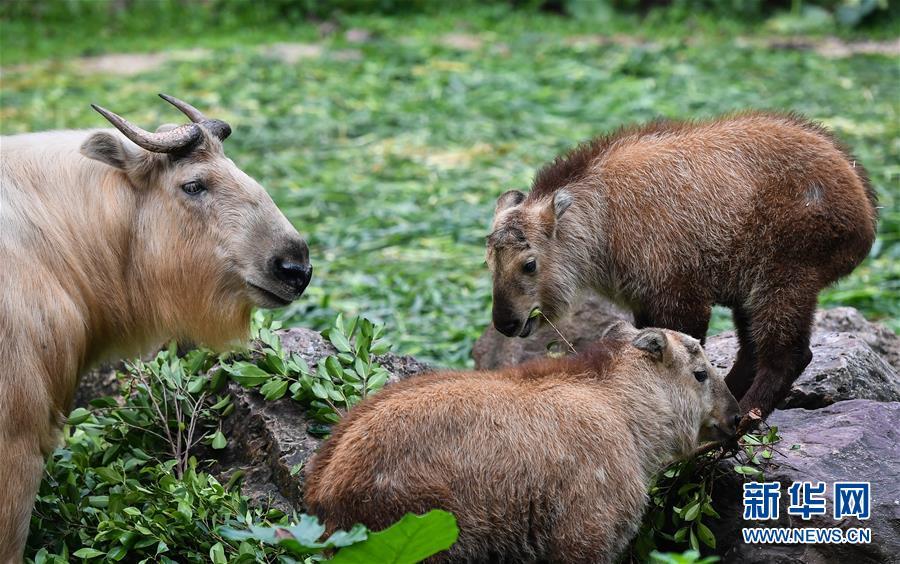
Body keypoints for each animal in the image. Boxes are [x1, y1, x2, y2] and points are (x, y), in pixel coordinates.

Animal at [488, 111, 876, 418]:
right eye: (489, 260)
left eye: (529, 264)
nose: (505, 323)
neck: (604, 220)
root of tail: (866, 210)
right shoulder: (645, 303)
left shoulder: (681, 299)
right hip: (750, 289)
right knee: (751, 353)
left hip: (785, 277)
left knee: (789, 356)